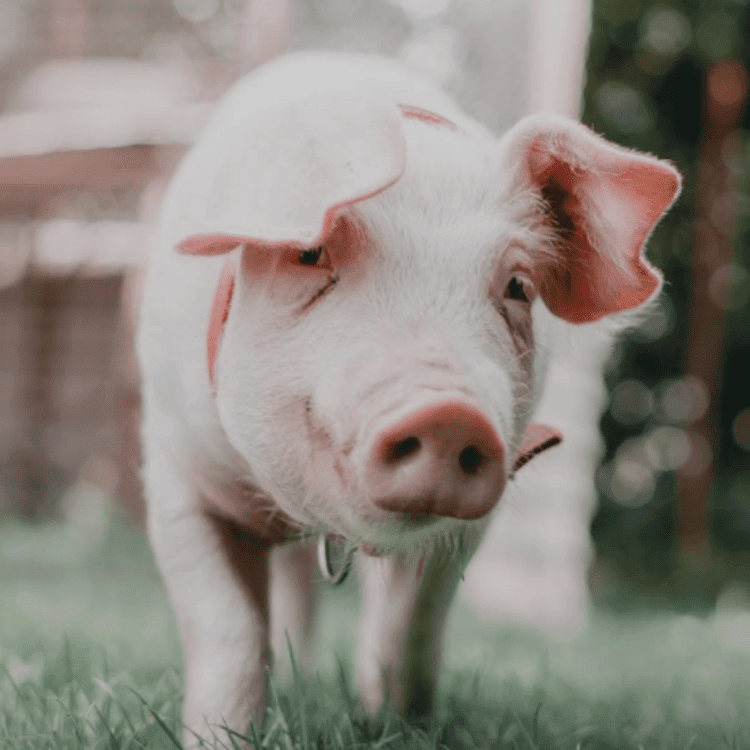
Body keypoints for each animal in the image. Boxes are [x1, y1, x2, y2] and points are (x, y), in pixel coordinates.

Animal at [136, 51, 681, 746]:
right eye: (310, 253)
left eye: (518, 286)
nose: (449, 414)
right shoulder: (177, 477)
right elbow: (227, 626)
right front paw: (219, 733)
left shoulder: (471, 522)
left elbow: (412, 627)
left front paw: (392, 723)